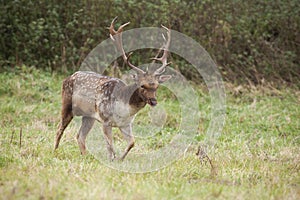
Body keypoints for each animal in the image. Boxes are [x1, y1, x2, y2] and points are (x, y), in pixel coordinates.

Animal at [54, 17, 171, 161]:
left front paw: (120, 159)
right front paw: (112, 159)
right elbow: (110, 146)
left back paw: (85, 156)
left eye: (157, 86)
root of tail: (67, 78)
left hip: (89, 116)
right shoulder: (105, 120)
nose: (154, 101)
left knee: (80, 136)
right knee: (59, 129)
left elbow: (132, 142)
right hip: (67, 104)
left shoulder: (126, 124)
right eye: (142, 85)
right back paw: (55, 152)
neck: (123, 106)